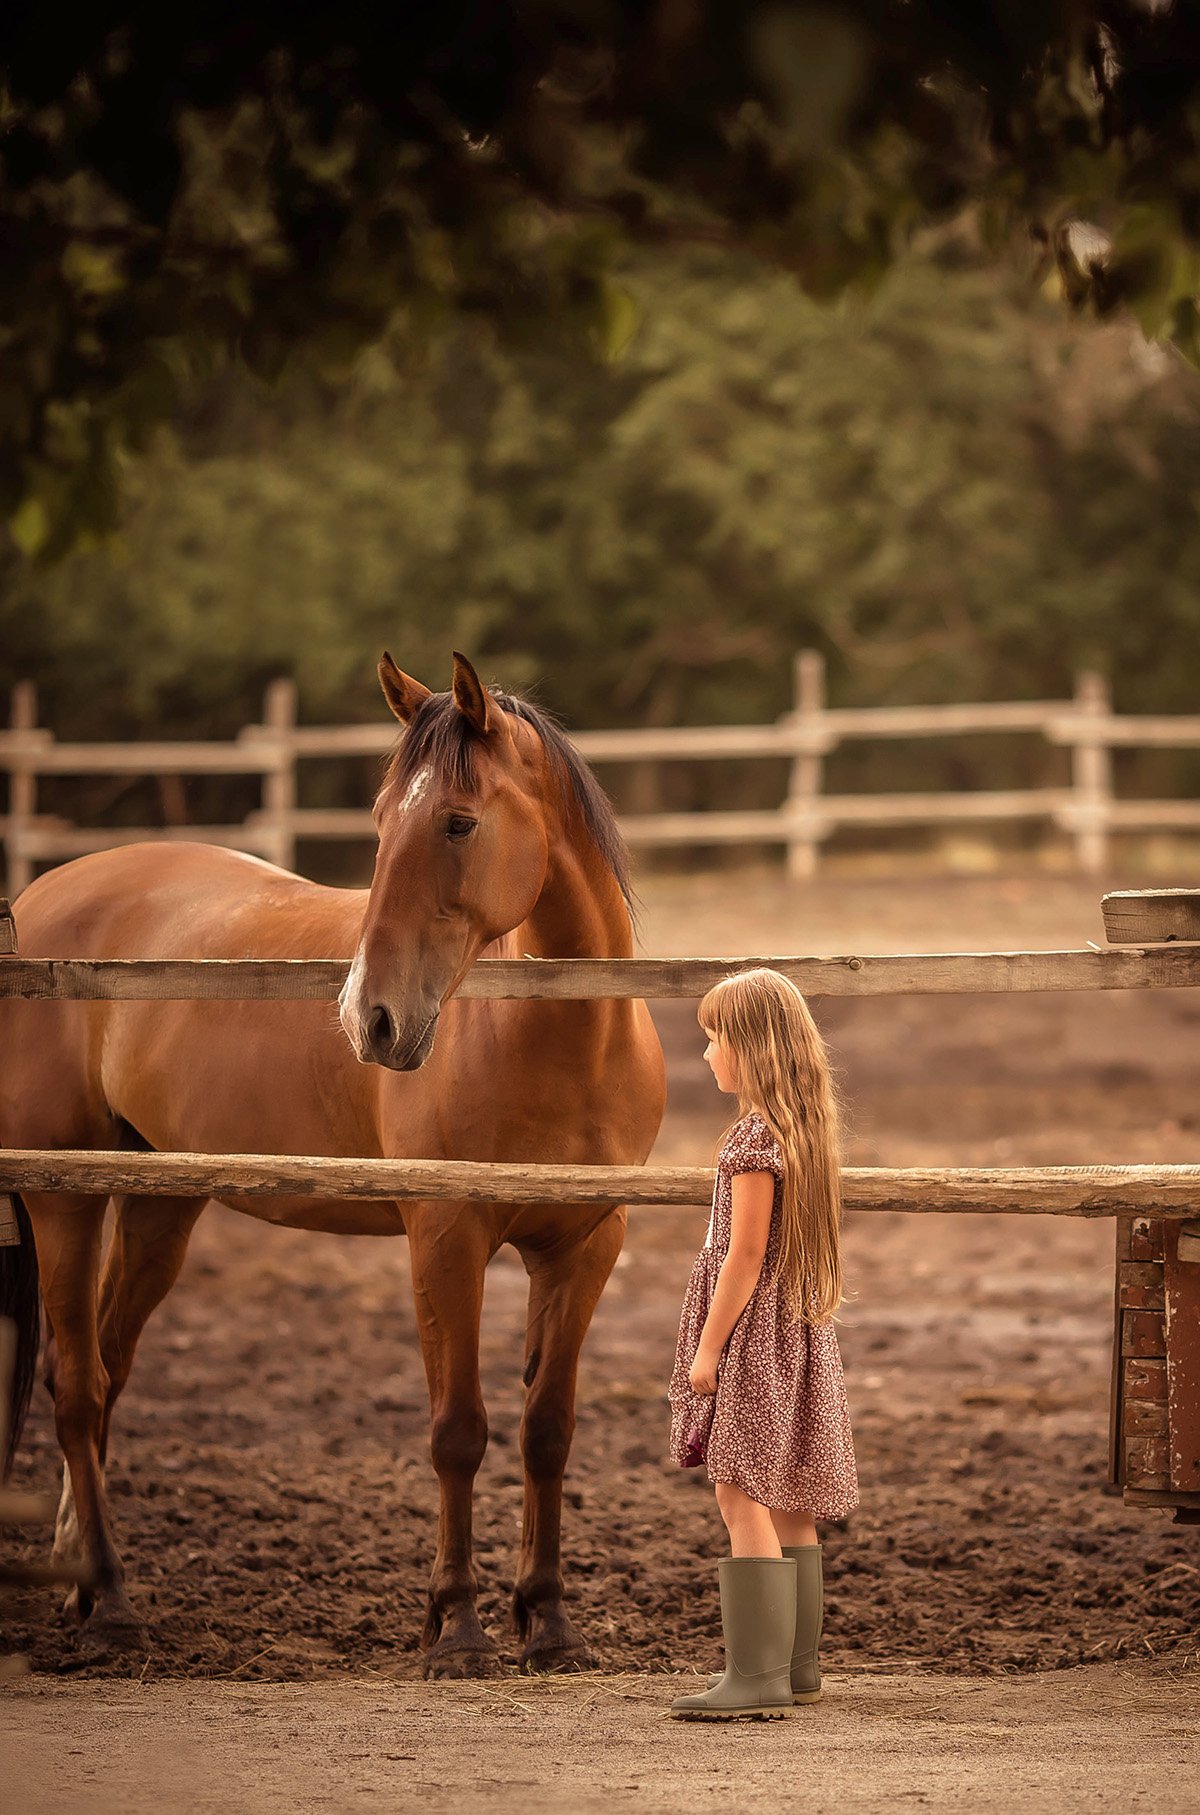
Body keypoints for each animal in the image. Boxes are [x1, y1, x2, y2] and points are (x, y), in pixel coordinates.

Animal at [0, 653, 664, 1669]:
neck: (564, 1037)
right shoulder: (445, 1237)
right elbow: (458, 1430)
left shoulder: (586, 1245)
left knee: (105, 1370)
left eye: (457, 821)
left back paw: (81, 1581)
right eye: (382, 822)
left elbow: (546, 1431)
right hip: (63, 1201)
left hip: (157, 1204)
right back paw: (110, 1601)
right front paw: (457, 1627)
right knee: (77, 1389)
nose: (371, 1019)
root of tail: (36, 902)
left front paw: (548, 1621)